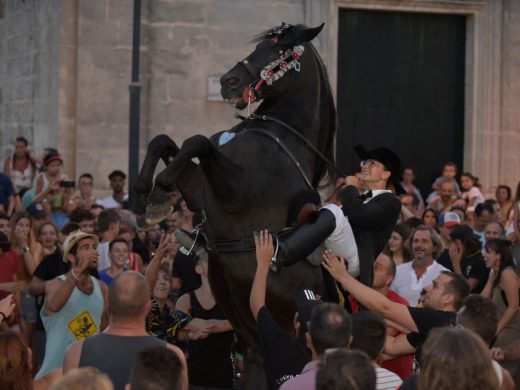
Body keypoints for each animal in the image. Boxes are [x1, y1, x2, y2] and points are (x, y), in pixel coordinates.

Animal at [134, 22, 338, 388]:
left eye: (281, 51)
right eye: (260, 46)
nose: (228, 81)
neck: (281, 138)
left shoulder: (235, 191)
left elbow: (197, 141)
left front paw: (159, 189)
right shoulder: (200, 189)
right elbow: (166, 141)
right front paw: (149, 194)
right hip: (252, 338)